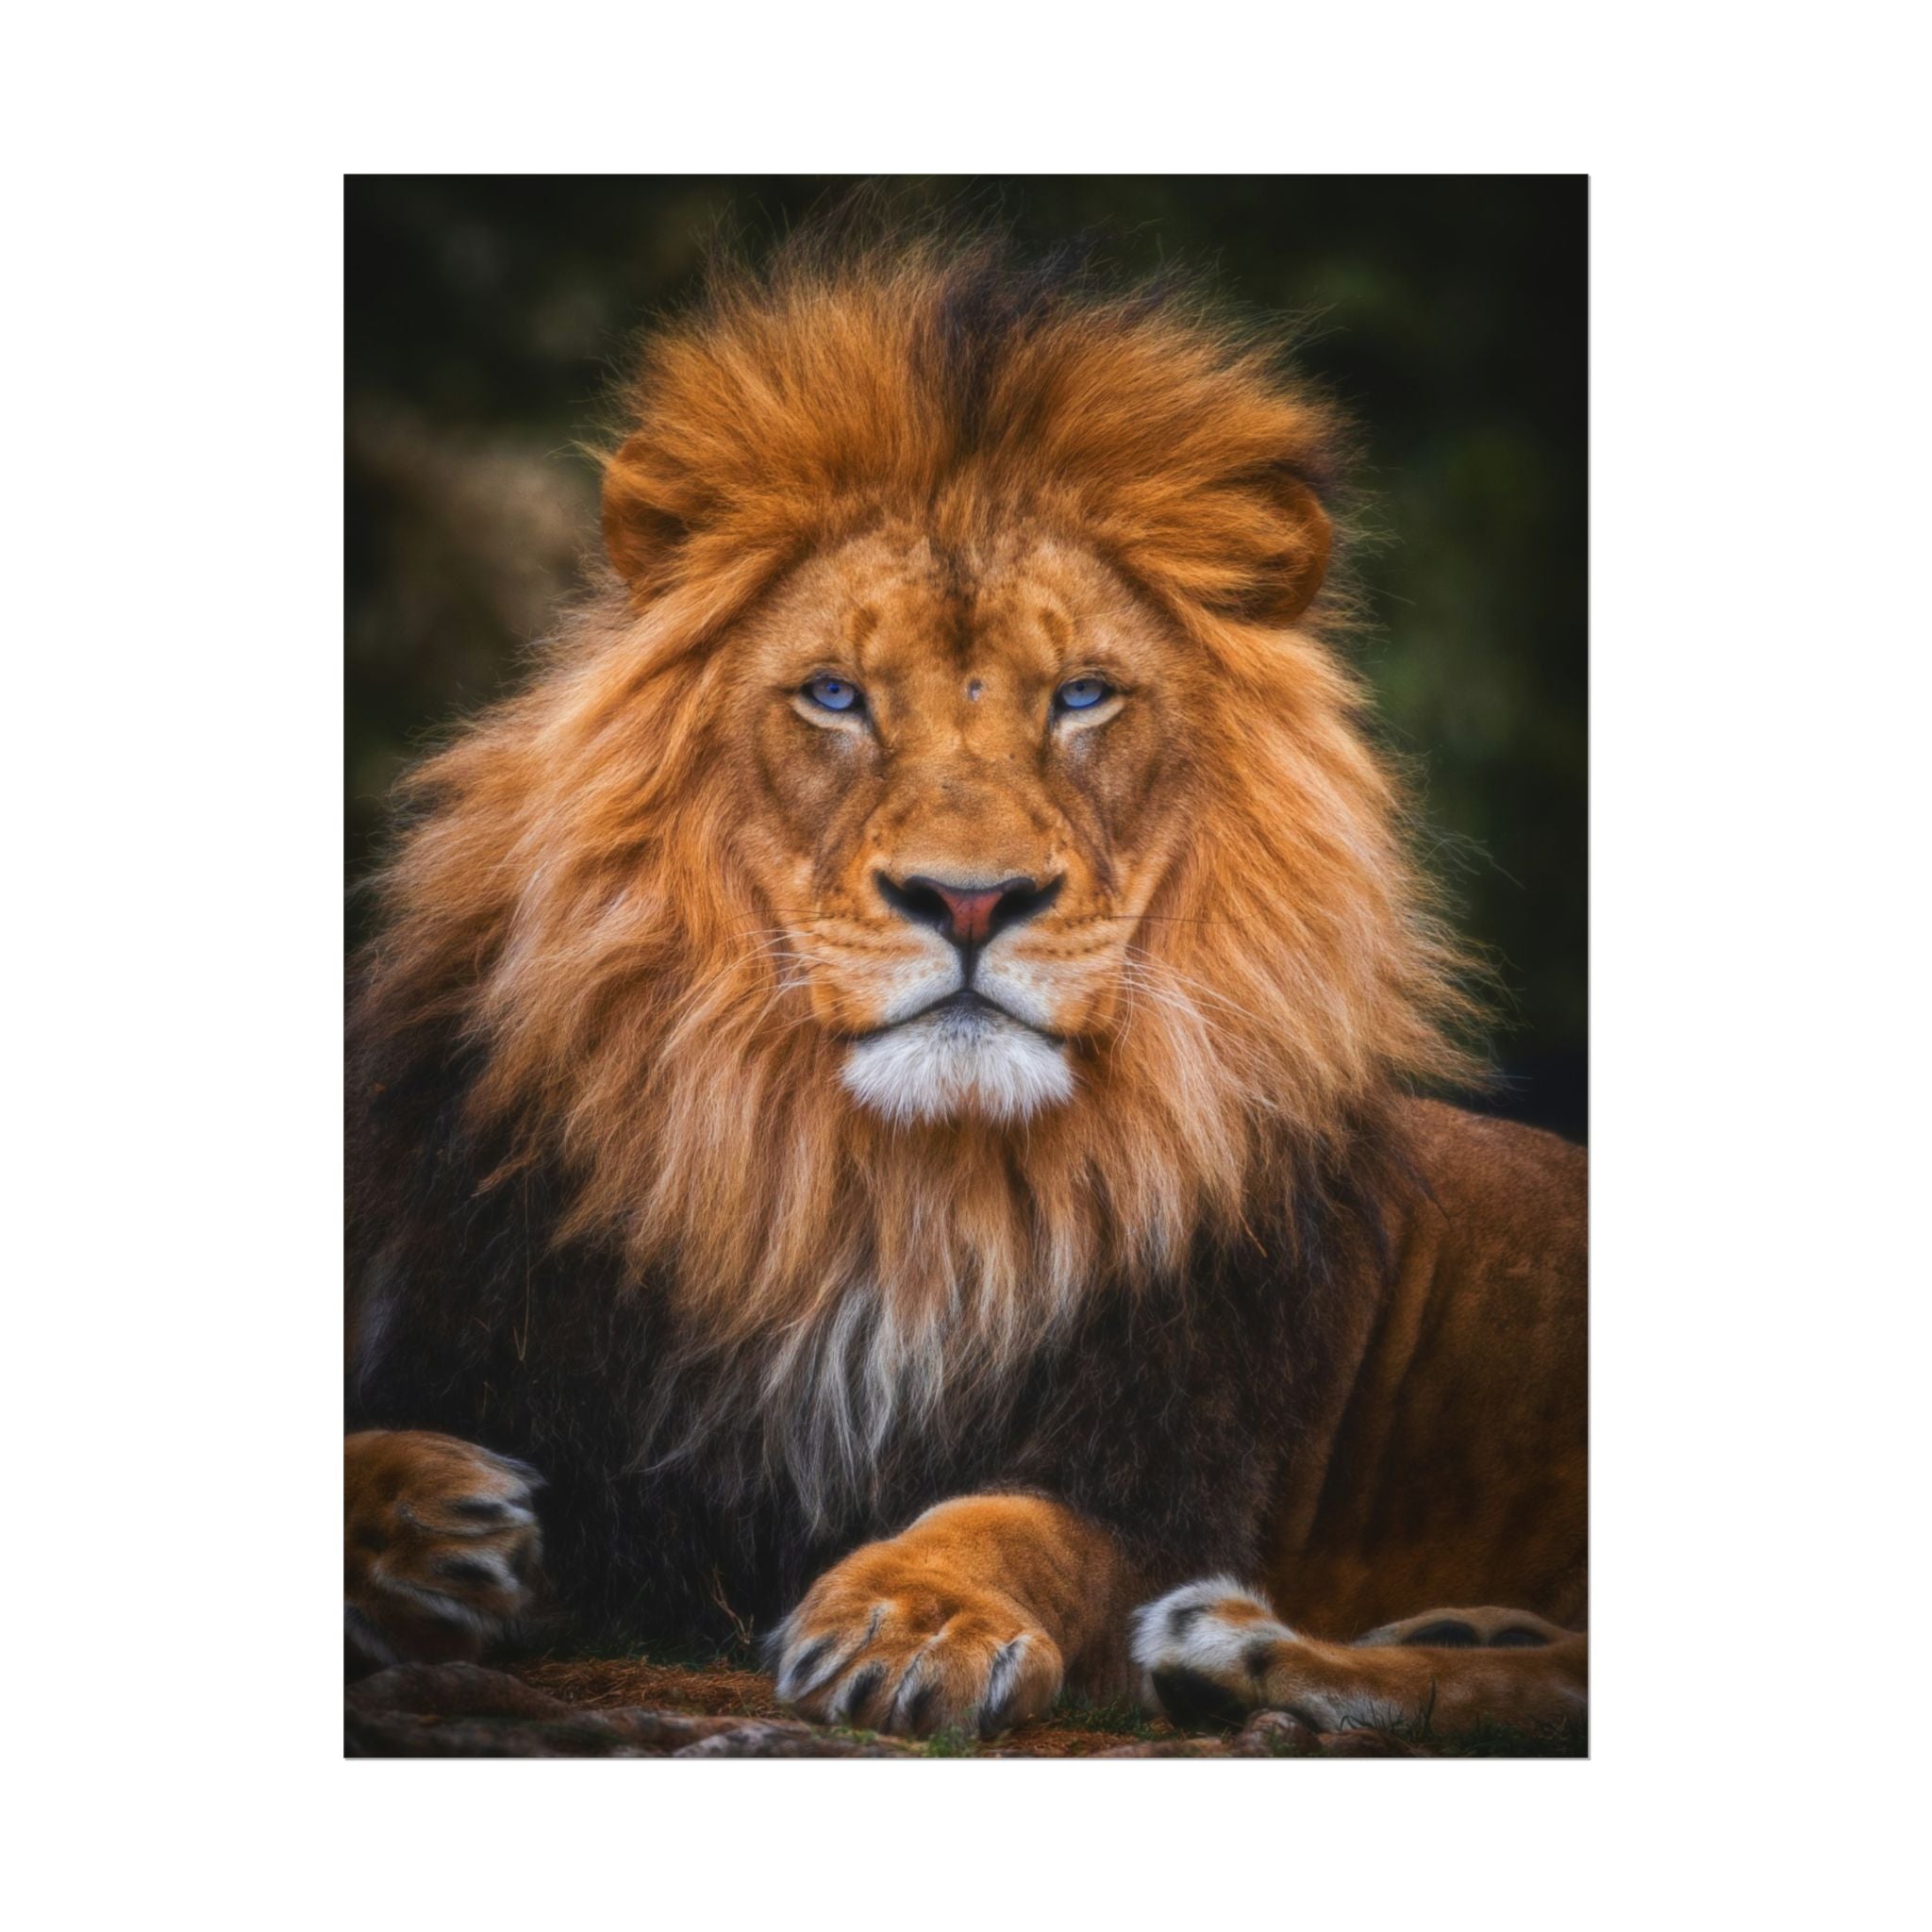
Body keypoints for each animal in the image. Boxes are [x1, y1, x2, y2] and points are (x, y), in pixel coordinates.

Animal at [345, 231, 1587, 1746]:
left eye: (1083, 696)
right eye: (833, 695)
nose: (972, 900)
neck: (885, 1196)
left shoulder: (1167, 1464)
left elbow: (1018, 1523)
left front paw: (912, 1616)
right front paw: (425, 1520)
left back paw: (1242, 1649)